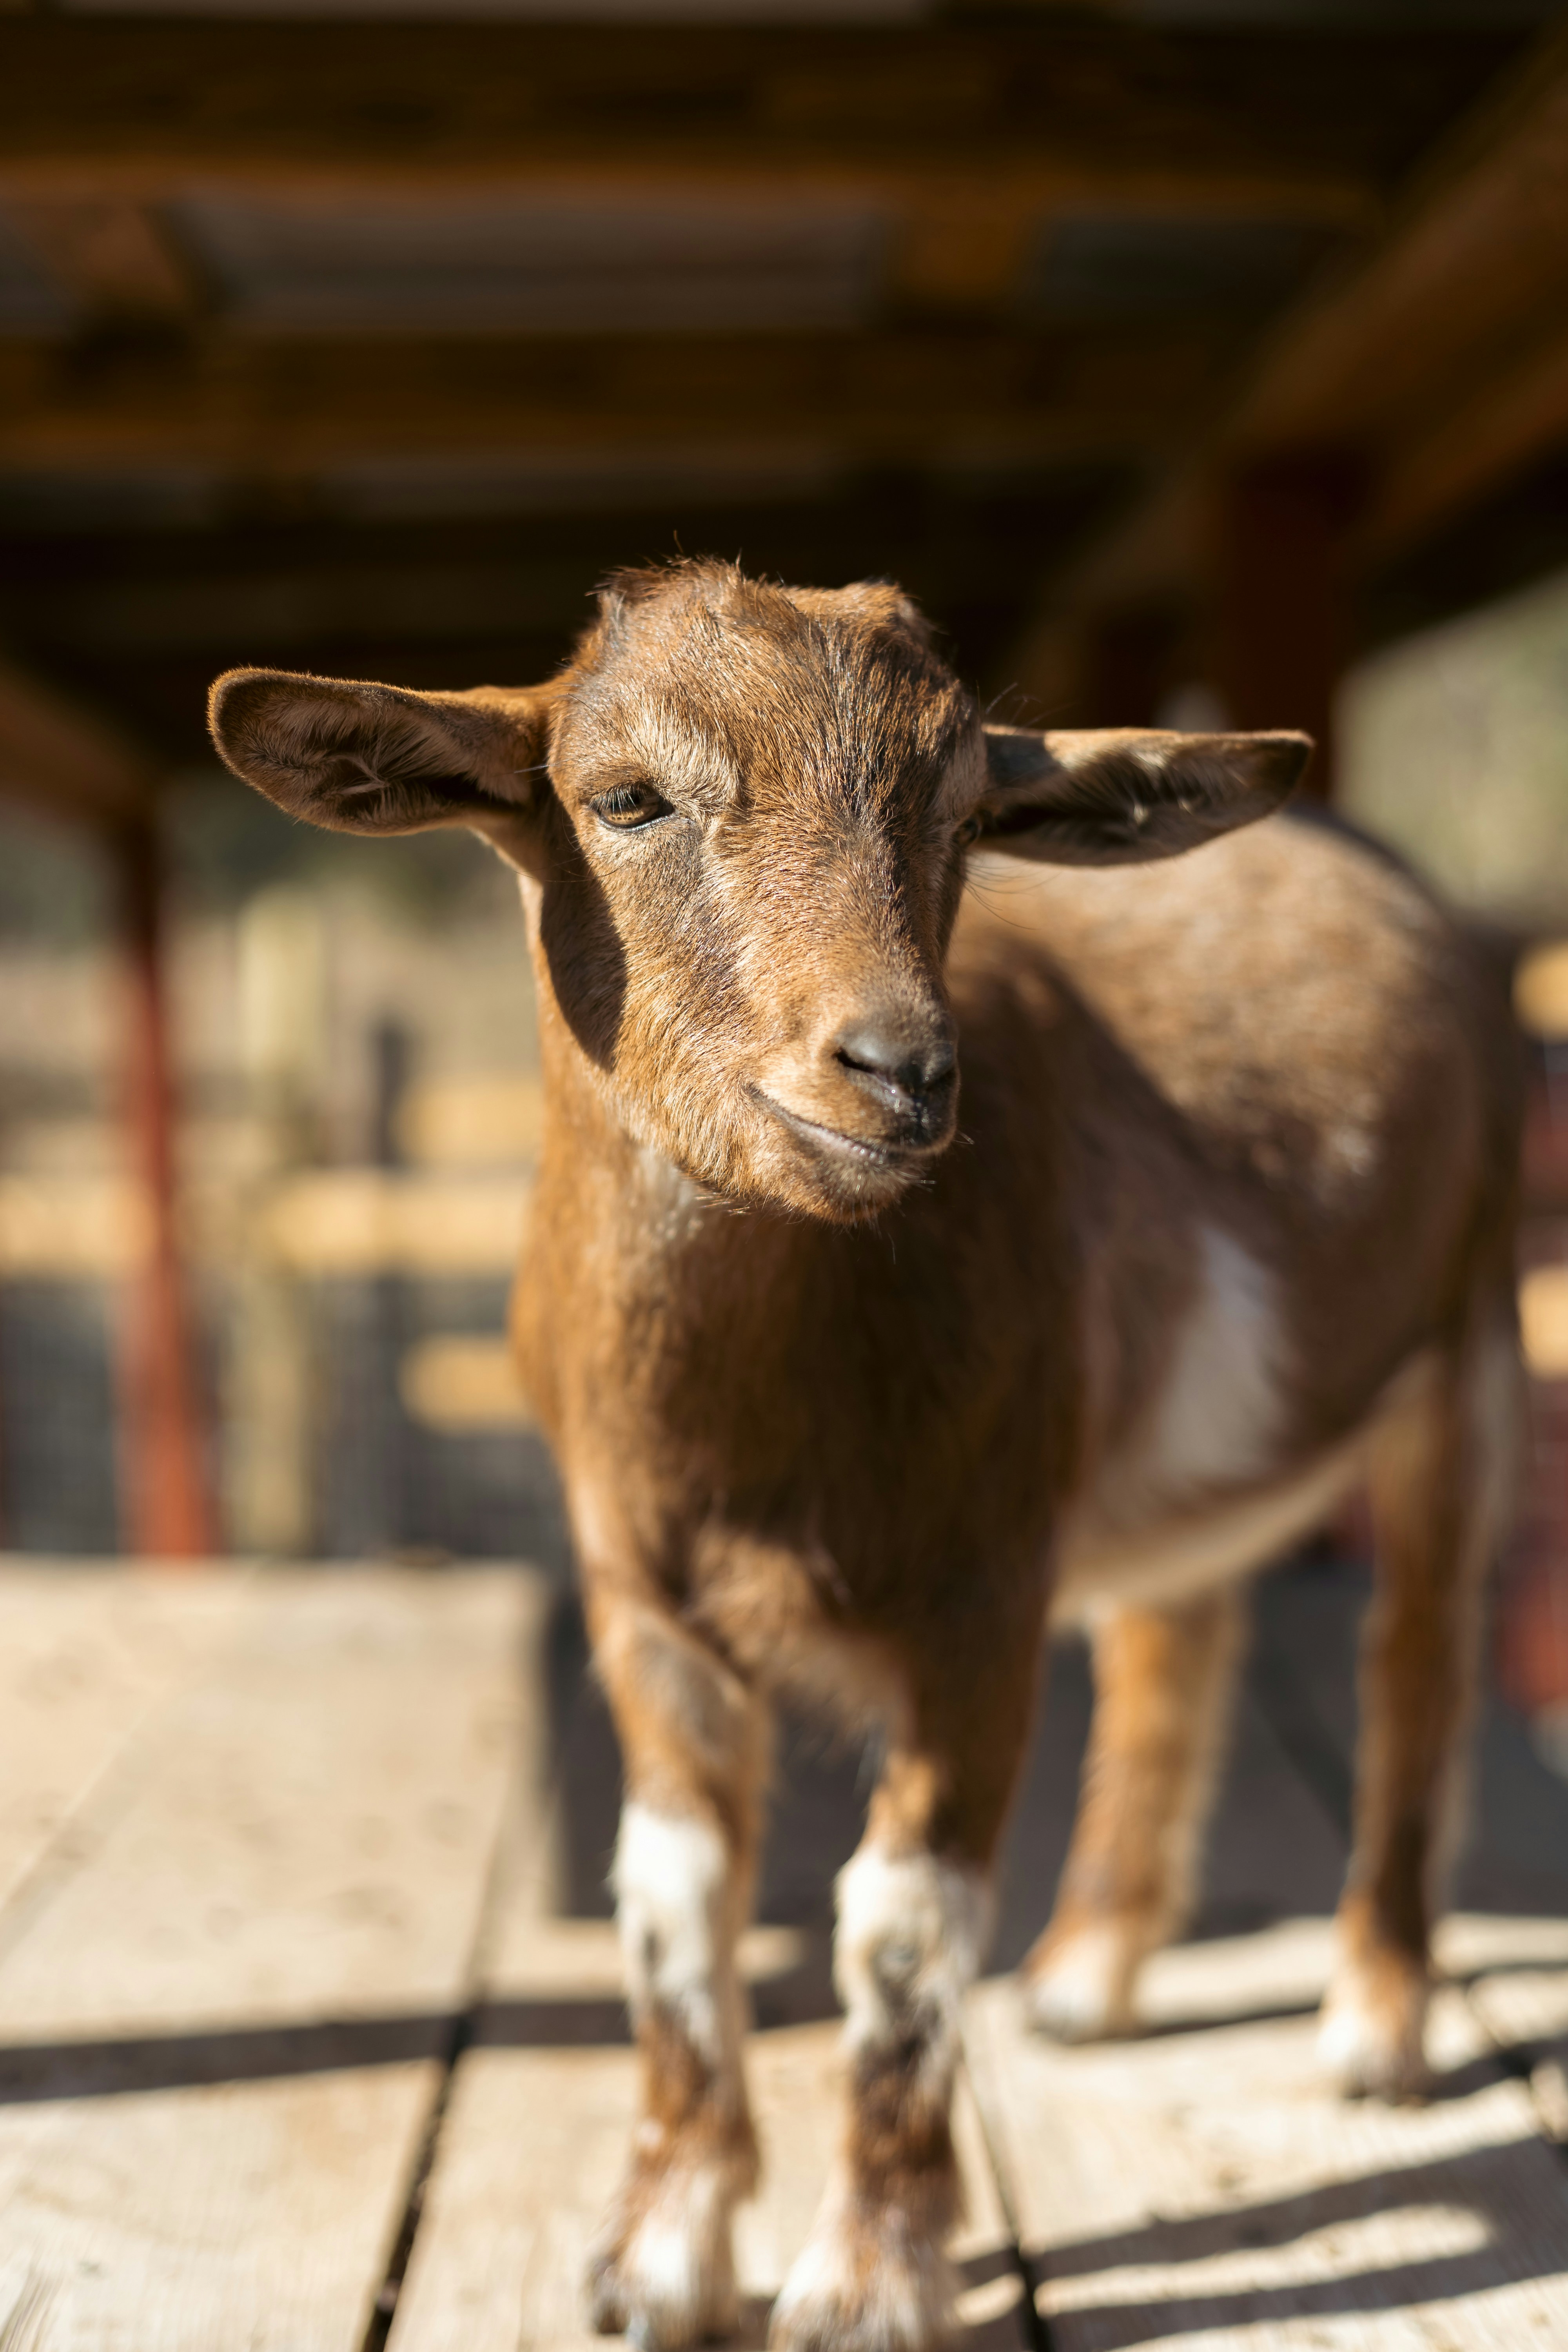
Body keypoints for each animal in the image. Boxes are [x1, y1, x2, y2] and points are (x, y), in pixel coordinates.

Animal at [210, 561, 1520, 2352]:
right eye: (626, 797)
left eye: (965, 813)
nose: (901, 1070)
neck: (755, 1418)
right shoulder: (642, 1596)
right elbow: (672, 1902)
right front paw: (656, 2255)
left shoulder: (980, 1595)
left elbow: (899, 1931)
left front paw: (868, 2280)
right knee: (1182, 1623)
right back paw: (1091, 1976)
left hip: (1463, 1327)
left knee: (1417, 1649)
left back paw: (1374, 2020)